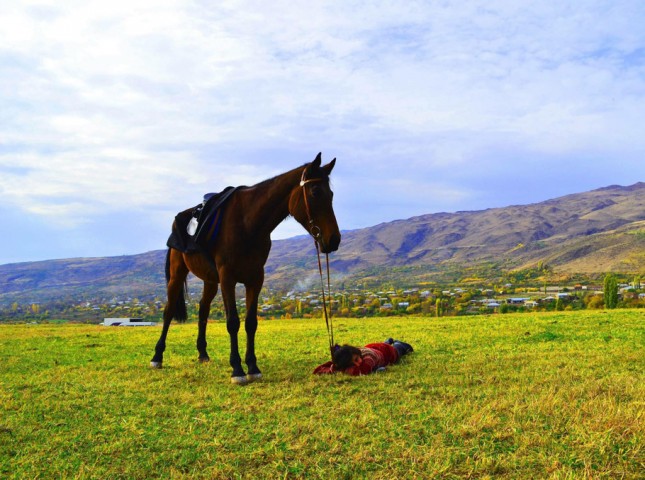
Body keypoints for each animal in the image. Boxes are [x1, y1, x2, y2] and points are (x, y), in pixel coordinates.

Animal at [151, 156, 340, 384]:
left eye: (331, 194)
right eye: (315, 192)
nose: (334, 240)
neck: (248, 222)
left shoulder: (255, 278)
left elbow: (251, 323)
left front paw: (252, 367)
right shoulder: (227, 278)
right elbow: (233, 322)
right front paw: (237, 370)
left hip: (210, 280)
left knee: (203, 309)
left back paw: (203, 353)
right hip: (178, 274)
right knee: (169, 311)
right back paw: (157, 356)